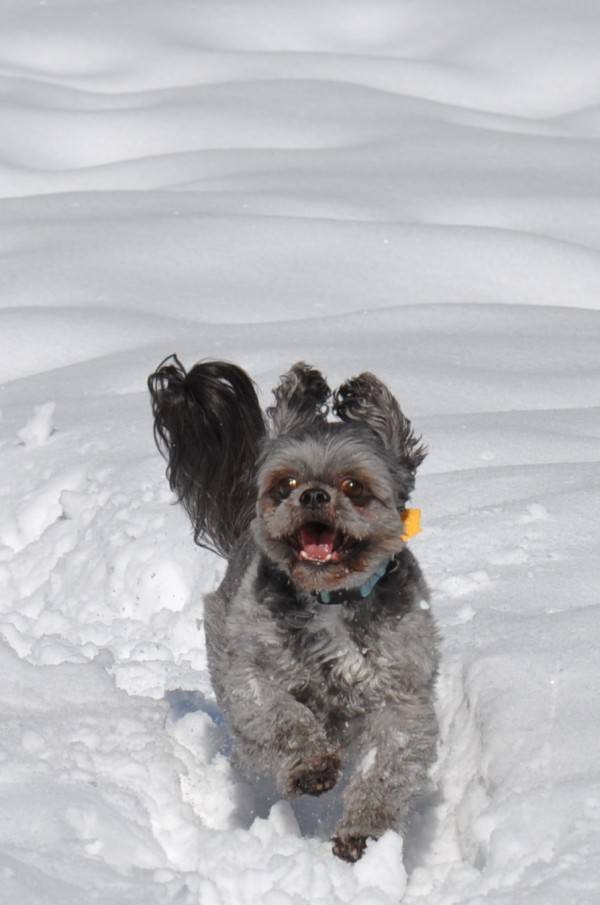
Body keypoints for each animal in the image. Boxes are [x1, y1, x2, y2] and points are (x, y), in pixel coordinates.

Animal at [149, 356, 440, 860]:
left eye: (353, 485)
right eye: (286, 483)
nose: (313, 495)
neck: (331, 600)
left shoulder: (403, 691)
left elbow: (391, 764)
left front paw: (365, 831)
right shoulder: (250, 670)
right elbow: (282, 715)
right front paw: (311, 766)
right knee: (254, 743)